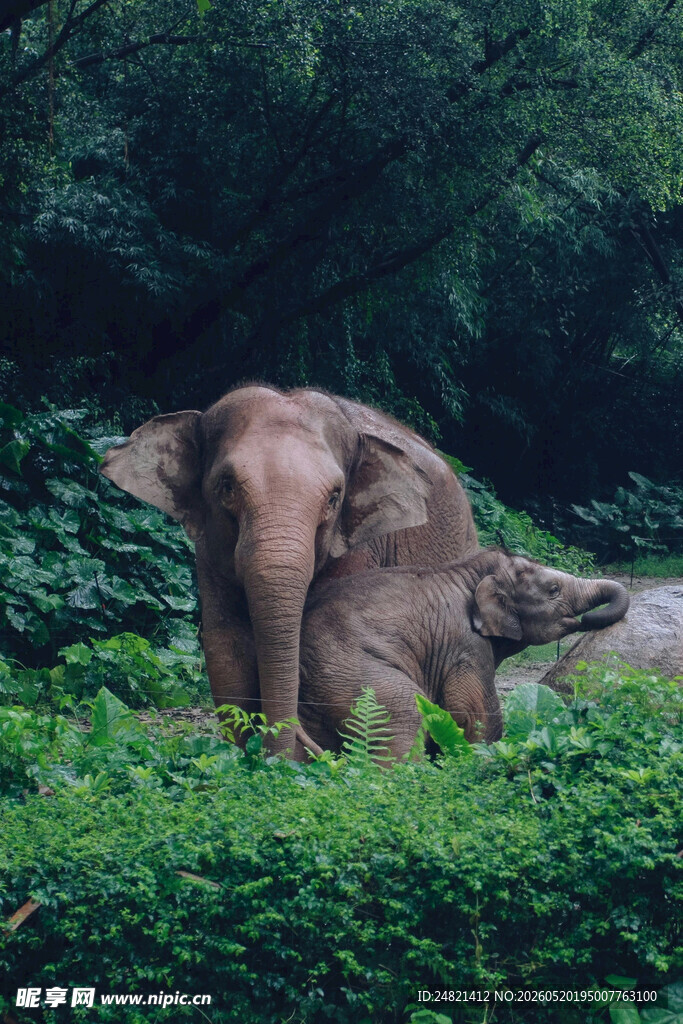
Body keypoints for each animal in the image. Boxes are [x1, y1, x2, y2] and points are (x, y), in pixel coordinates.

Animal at [100, 385, 478, 757]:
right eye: (226, 486)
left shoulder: (360, 547)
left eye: (334, 497)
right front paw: (251, 759)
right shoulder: (208, 553)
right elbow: (226, 648)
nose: (284, 750)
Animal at [297, 548, 630, 757]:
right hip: (348, 671)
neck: (469, 570)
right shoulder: (465, 644)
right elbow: (476, 714)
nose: (589, 619)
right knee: (405, 714)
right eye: (553, 590)